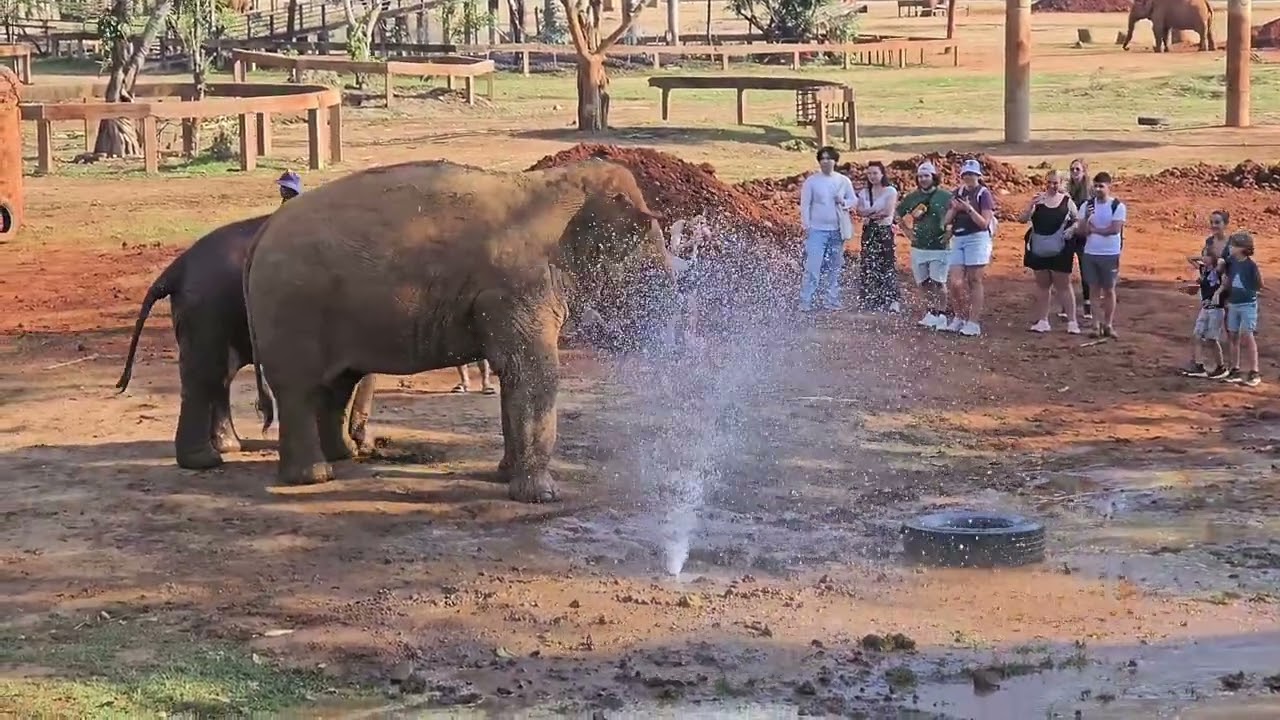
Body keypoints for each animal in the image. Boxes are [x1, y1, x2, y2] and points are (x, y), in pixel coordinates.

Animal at [116, 215, 378, 469]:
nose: (365, 444)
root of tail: (176, 268)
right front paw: (362, 447)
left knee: (221, 374)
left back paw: (228, 446)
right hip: (207, 311)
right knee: (207, 373)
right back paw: (208, 459)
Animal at [243, 158, 677, 501]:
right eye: (649, 255)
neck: (557, 186)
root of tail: (263, 233)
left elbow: (514, 375)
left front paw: (504, 476)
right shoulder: (519, 287)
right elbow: (533, 371)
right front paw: (541, 496)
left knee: (337, 385)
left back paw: (341, 458)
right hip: (291, 310)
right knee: (300, 389)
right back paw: (314, 477)